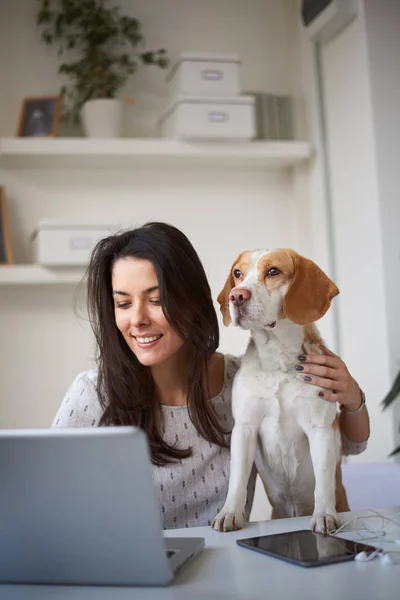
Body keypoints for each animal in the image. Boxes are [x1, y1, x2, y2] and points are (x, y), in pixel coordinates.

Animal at [212, 248, 350, 536]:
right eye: (237, 273)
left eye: (273, 271)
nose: (236, 295)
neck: (278, 364)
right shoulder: (244, 428)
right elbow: (237, 479)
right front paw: (229, 513)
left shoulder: (320, 429)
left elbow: (323, 482)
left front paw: (324, 515)